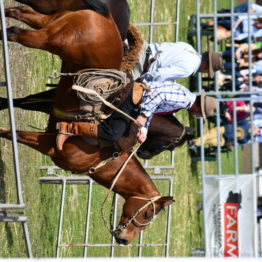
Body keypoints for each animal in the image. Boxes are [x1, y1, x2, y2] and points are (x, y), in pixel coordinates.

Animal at [1, 1, 176, 245]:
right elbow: (11, 133)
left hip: (45, 21)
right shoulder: (47, 144)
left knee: (19, 13)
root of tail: (106, 17)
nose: (124, 240)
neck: (103, 158)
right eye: (147, 214)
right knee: (13, 33)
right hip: (43, 39)